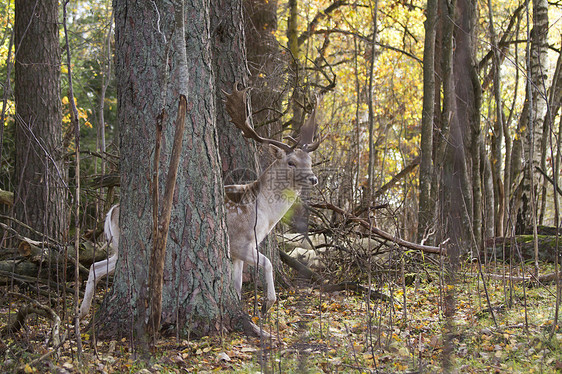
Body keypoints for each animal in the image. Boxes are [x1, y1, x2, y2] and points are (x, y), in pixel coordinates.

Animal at [77, 84, 320, 318]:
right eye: (290, 162)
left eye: (309, 160)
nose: (314, 178)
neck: (264, 214)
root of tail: (112, 210)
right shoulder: (239, 243)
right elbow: (268, 264)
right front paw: (267, 304)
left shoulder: (238, 253)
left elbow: (237, 286)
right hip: (128, 243)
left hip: (117, 246)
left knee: (96, 267)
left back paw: (82, 312)